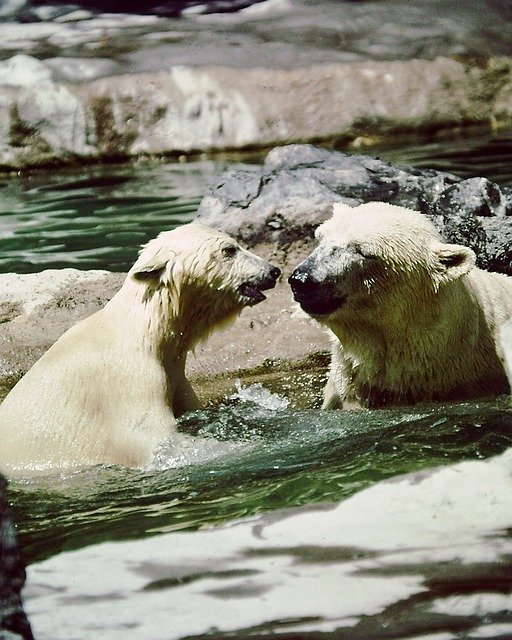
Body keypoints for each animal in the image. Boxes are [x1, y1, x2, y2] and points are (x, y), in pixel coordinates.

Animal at [0, 223, 280, 476]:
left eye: (237, 244)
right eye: (229, 250)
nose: (274, 271)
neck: (143, 332)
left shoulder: (175, 378)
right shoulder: (129, 383)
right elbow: (154, 441)